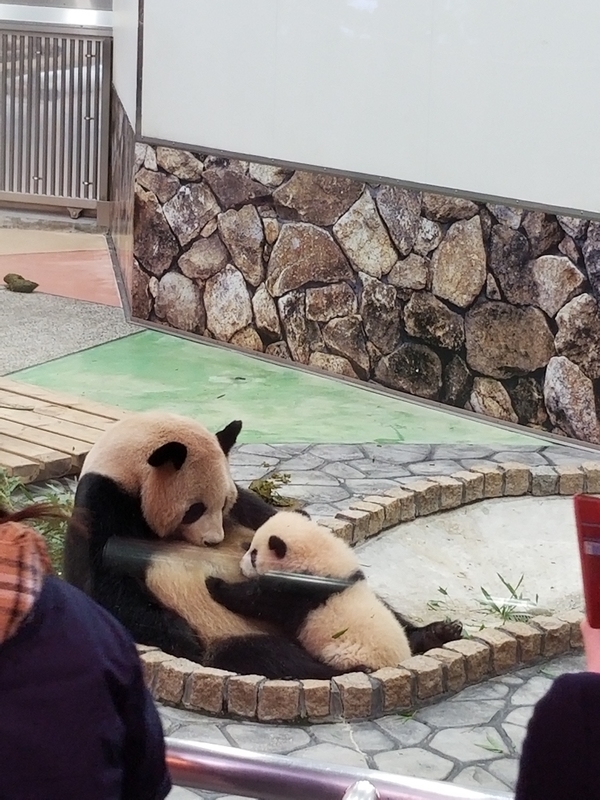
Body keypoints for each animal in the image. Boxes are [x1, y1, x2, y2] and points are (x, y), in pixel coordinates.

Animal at [63, 411, 338, 679]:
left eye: (224, 502)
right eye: (195, 510)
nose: (213, 540)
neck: (127, 473)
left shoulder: (244, 509)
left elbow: (262, 512)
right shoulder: (102, 503)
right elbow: (103, 584)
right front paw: (184, 638)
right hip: (229, 631)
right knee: (265, 655)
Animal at [205, 511, 463, 673]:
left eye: (254, 554)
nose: (242, 566)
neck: (321, 560)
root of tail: (397, 662)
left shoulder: (301, 589)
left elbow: (258, 600)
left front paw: (215, 584)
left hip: (340, 652)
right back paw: (441, 632)